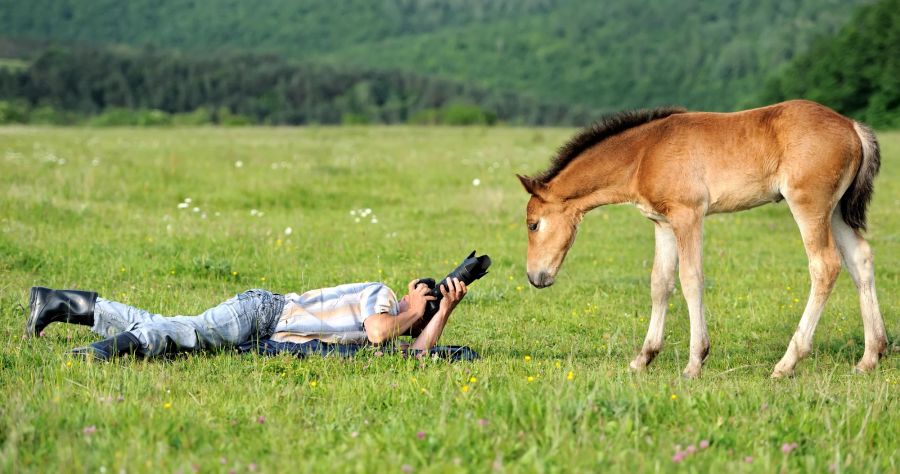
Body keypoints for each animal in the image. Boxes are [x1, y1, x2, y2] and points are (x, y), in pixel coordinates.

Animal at [520, 100, 884, 378]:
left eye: (533, 225)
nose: (535, 278)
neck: (644, 153)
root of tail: (852, 127)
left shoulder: (688, 215)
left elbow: (691, 279)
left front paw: (695, 362)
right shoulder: (663, 223)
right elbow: (660, 283)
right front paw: (643, 358)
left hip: (810, 204)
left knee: (825, 265)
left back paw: (786, 363)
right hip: (835, 211)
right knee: (860, 259)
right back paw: (870, 357)